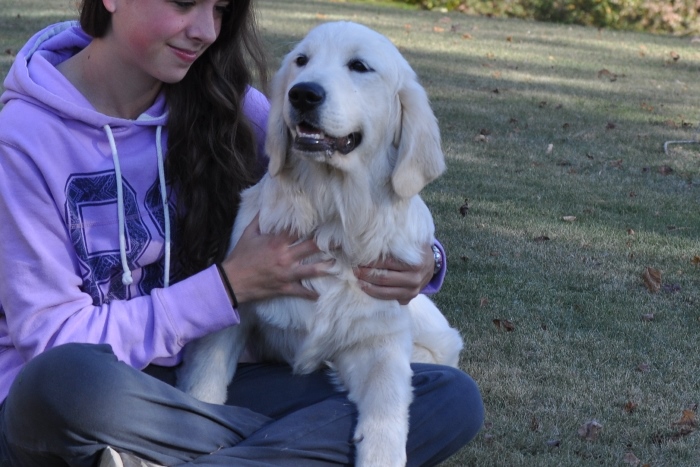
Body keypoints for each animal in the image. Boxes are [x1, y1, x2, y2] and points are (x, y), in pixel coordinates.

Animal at [179, 22, 464, 467]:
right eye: (301, 60)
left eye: (359, 66)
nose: (303, 94)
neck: (333, 220)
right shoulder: (232, 316)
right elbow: (203, 391)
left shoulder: (381, 341)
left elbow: (387, 409)